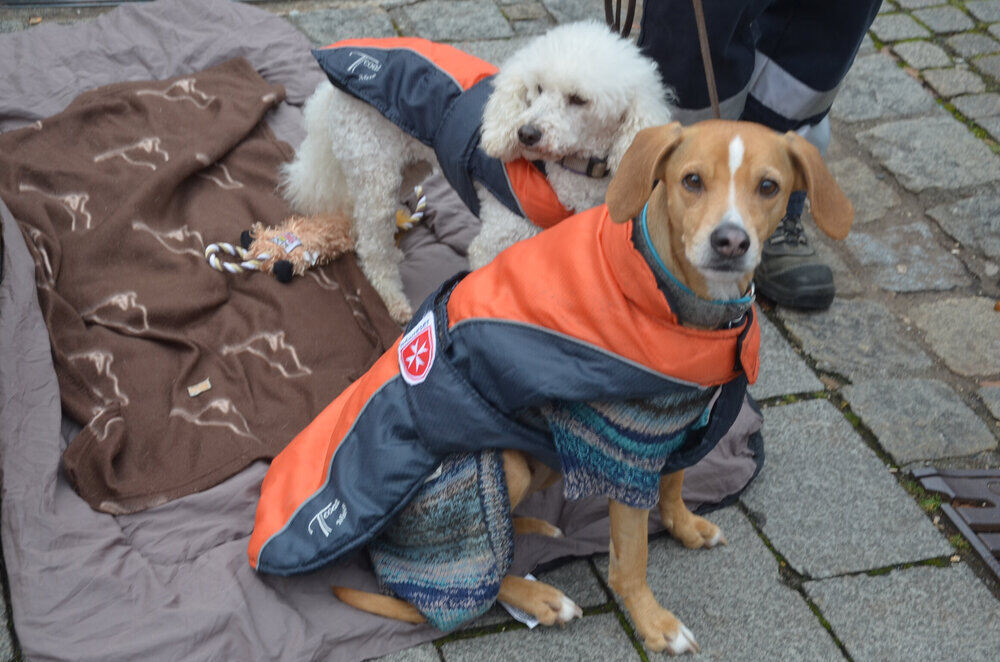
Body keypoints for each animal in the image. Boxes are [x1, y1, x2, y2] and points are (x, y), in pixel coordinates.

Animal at [330, 120, 852, 660]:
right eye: (691, 180)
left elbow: (675, 483)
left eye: (769, 186)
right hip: (500, 470)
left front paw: (684, 526)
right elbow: (632, 557)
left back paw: (537, 532)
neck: (668, 292)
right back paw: (541, 597)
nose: (730, 242)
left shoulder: (675, 428)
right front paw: (654, 624)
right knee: (465, 579)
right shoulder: (624, 451)